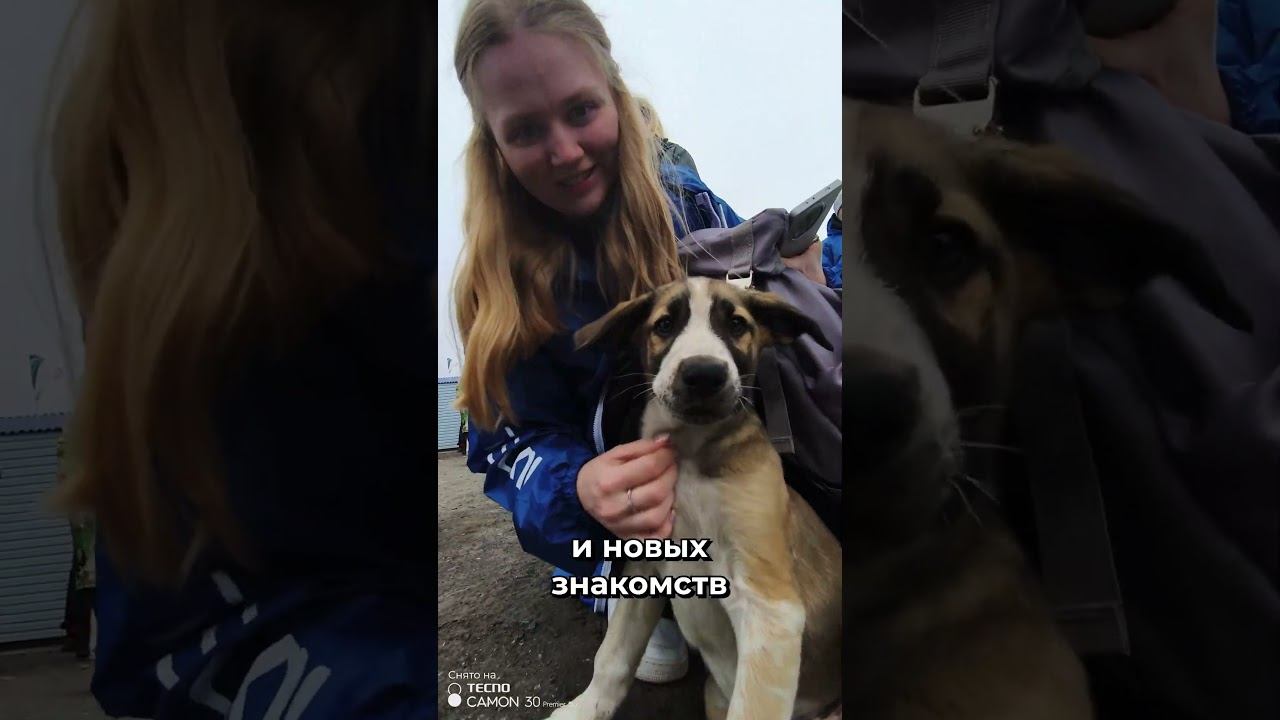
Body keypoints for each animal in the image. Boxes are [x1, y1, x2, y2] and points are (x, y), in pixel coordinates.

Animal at [551, 277, 842, 720]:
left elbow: (753, 707)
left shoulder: (770, 604)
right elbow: (613, 655)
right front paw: (587, 707)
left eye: (737, 324)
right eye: (665, 324)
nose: (703, 374)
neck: (689, 454)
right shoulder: (644, 567)